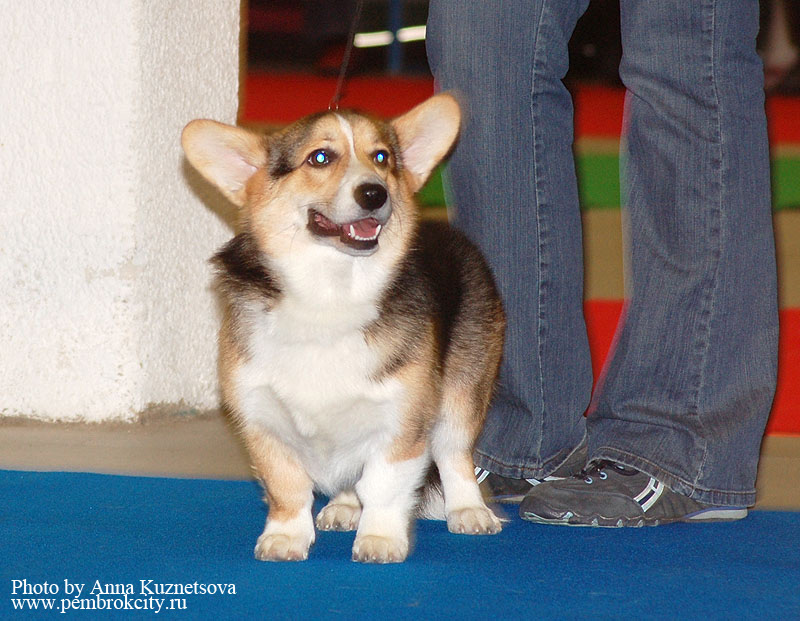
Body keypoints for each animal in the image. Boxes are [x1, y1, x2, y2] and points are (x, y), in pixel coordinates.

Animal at [184, 94, 504, 564]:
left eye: (382, 158)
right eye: (320, 157)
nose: (375, 193)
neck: (329, 294)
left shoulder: (404, 418)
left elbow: (385, 486)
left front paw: (380, 539)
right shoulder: (261, 417)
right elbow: (287, 486)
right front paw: (285, 537)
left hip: (463, 389)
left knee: (454, 454)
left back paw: (468, 510)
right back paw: (345, 507)